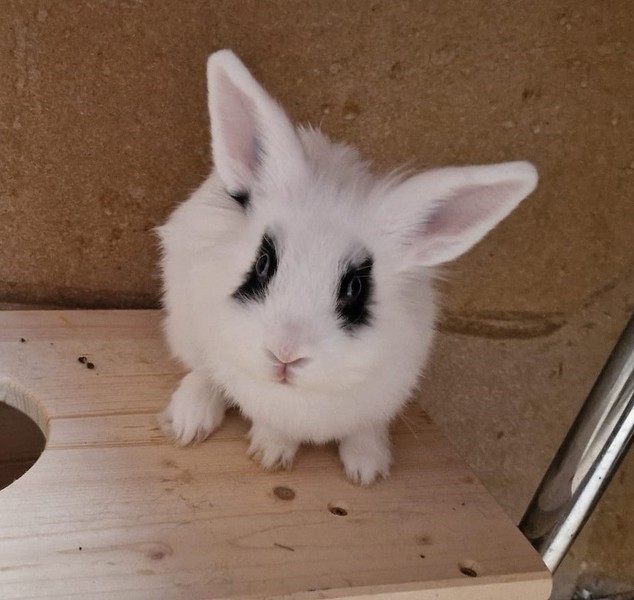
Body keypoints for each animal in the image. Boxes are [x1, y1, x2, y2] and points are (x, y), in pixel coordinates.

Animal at [157, 49, 538, 485]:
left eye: (355, 288)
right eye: (264, 263)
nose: (285, 354)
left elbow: (365, 427)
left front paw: (367, 469)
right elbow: (268, 420)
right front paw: (272, 453)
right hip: (184, 322)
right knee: (200, 370)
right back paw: (189, 421)